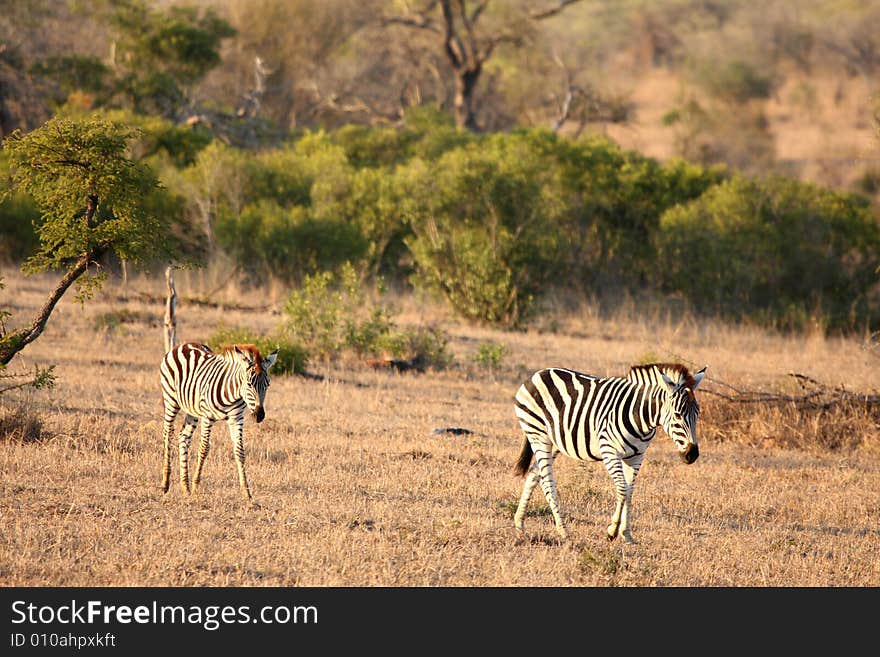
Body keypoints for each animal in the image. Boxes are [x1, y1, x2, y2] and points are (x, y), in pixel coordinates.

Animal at [161, 340, 278, 500]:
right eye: (249, 384)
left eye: (268, 385)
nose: (259, 415)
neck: (232, 393)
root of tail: (184, 344)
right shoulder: (207, 417)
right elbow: (204, 449)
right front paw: (196, 486)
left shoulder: (237, 418)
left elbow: (240, 451)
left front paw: (246, 493)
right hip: (171, 401)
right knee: (168, 435)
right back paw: (165, 483)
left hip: (192, 411)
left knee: (183, 437)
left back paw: (185, 487)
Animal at [512, 362, 704, 540]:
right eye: (677, 415)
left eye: (697, 414)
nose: (692, 455)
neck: (640, 416)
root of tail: (538, 374)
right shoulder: (610, 451)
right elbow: (622, 489)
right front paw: (612, 531)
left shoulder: (637, 456)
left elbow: (630, 492)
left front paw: (627, 534)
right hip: (538, 434)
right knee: (547, 481)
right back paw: (563, 531)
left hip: (554, 442)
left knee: (534, 473)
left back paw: (519, 523)